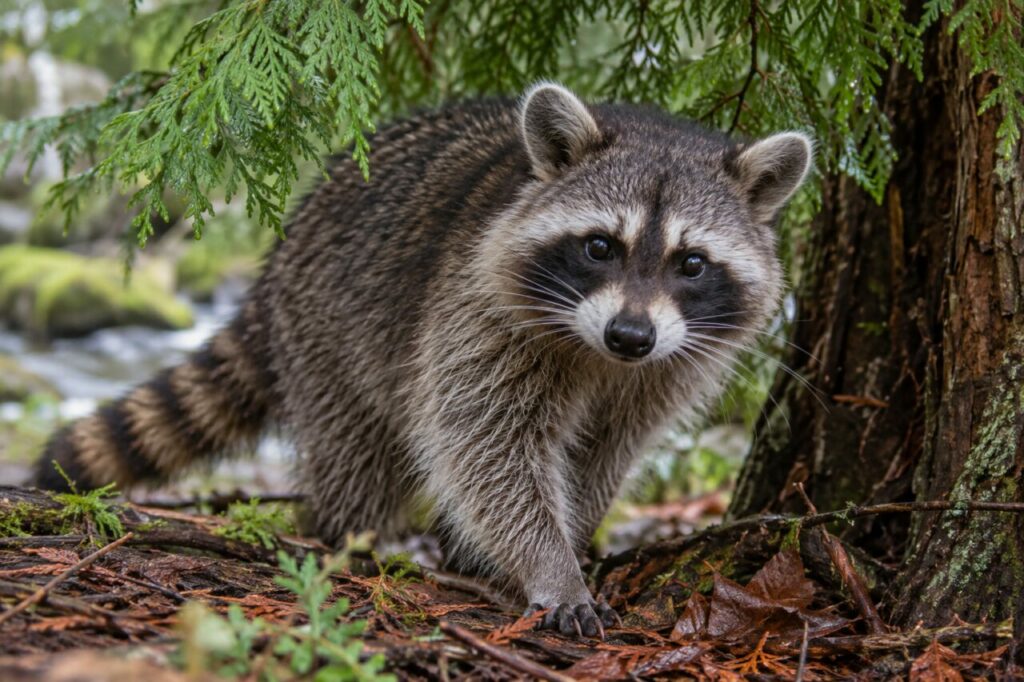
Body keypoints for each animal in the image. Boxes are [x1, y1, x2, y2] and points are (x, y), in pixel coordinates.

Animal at [34, 83, 811, 637]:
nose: (629, 336)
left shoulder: (670, 362)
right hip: (331, 333)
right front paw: (550, 564)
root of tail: (277, 264)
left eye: (691, 263)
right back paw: (348, 534)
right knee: (357, 454)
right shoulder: (476, 314)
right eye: (599, 247)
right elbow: (489, 445)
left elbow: (605, 450)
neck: (597, 354)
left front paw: (575, 529)